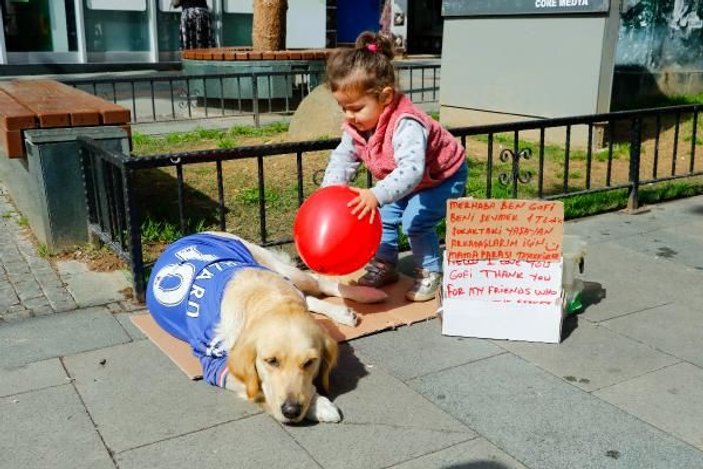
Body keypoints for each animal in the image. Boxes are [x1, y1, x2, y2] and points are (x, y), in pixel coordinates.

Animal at [146, 232, 388, 422]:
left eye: (310, 362)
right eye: (271, 361)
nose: (291, 410)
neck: (267, 300)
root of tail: (187, 235)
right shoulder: (214, 364)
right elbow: (261, 386)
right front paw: (319, 406)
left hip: (284, 271)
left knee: (318, 281)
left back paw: (366, 295)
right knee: (311, 296)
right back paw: (346, 311)